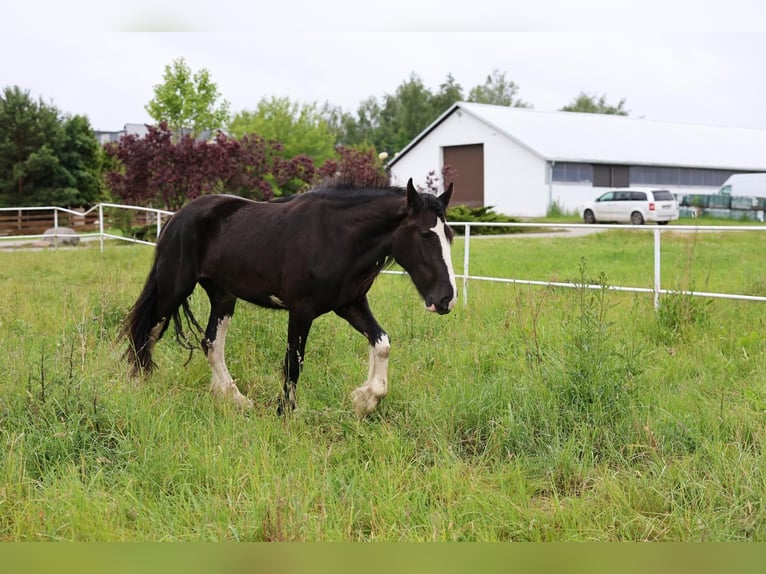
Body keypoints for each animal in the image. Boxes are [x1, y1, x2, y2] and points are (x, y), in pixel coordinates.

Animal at [121, 178, 456, 417]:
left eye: (450, 235)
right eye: (426, 234)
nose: (446, 299)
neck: (337, 236)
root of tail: (177, 217)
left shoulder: (350, 305)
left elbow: (383, 343)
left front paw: (366, 399)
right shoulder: (301, 310)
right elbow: (294, 362)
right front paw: (286, 412)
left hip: (223, 295)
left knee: (211, 343)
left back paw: (234, 398)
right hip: (173, 288)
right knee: (148, 332)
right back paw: (141, 385)